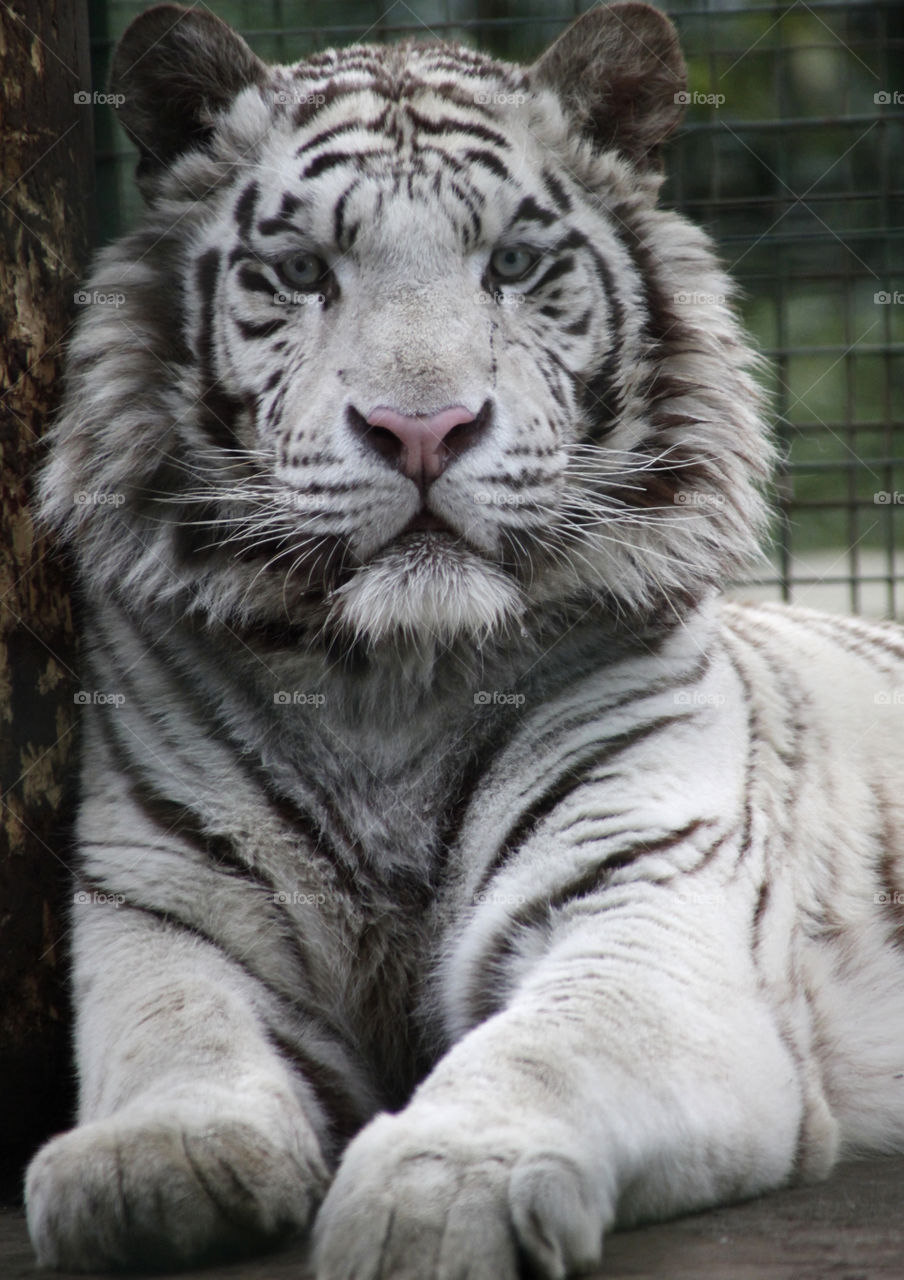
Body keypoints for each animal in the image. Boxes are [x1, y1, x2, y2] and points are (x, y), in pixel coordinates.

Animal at [25, 2, 904, 1276]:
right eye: (303, 271)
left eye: (515, 264)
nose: (422, 427)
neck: (389, 676)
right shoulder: (167, 899)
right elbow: (172, 1026)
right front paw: (149, 1158)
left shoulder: (641, 898)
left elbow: (543, 1049)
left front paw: (439, 1187)